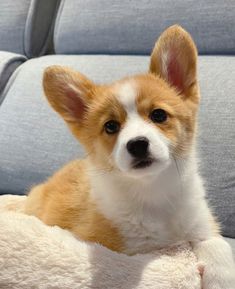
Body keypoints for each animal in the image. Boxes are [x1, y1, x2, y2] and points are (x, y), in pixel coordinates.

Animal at [24, 25, 235, 286]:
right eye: (111, 126)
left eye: (158, 115)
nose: (137, 144)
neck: (153, 190)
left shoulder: (201, 223)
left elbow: (218, 246)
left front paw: (222, 279)